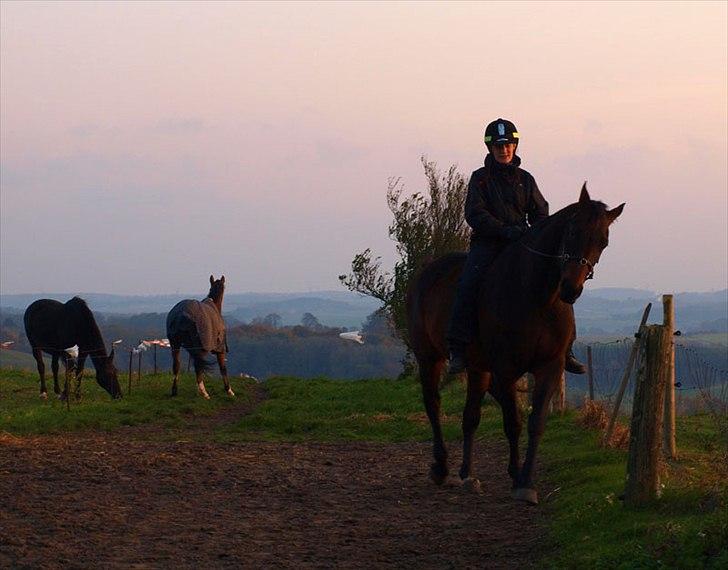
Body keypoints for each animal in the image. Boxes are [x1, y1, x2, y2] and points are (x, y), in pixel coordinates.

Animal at [406, 185, 624, 502]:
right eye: (572, 230)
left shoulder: (549, 367)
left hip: (478, 368)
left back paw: (468, 474)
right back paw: (441, 467)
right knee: (433, 404)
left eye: (603, 242)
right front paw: (518, 478)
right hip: (429, 358)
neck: (538, 298)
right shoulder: (506, 369)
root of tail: (426, 272)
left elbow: (535, 423)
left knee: (470, 416)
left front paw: (524, 480)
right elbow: (514, 422)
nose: (570, 289)